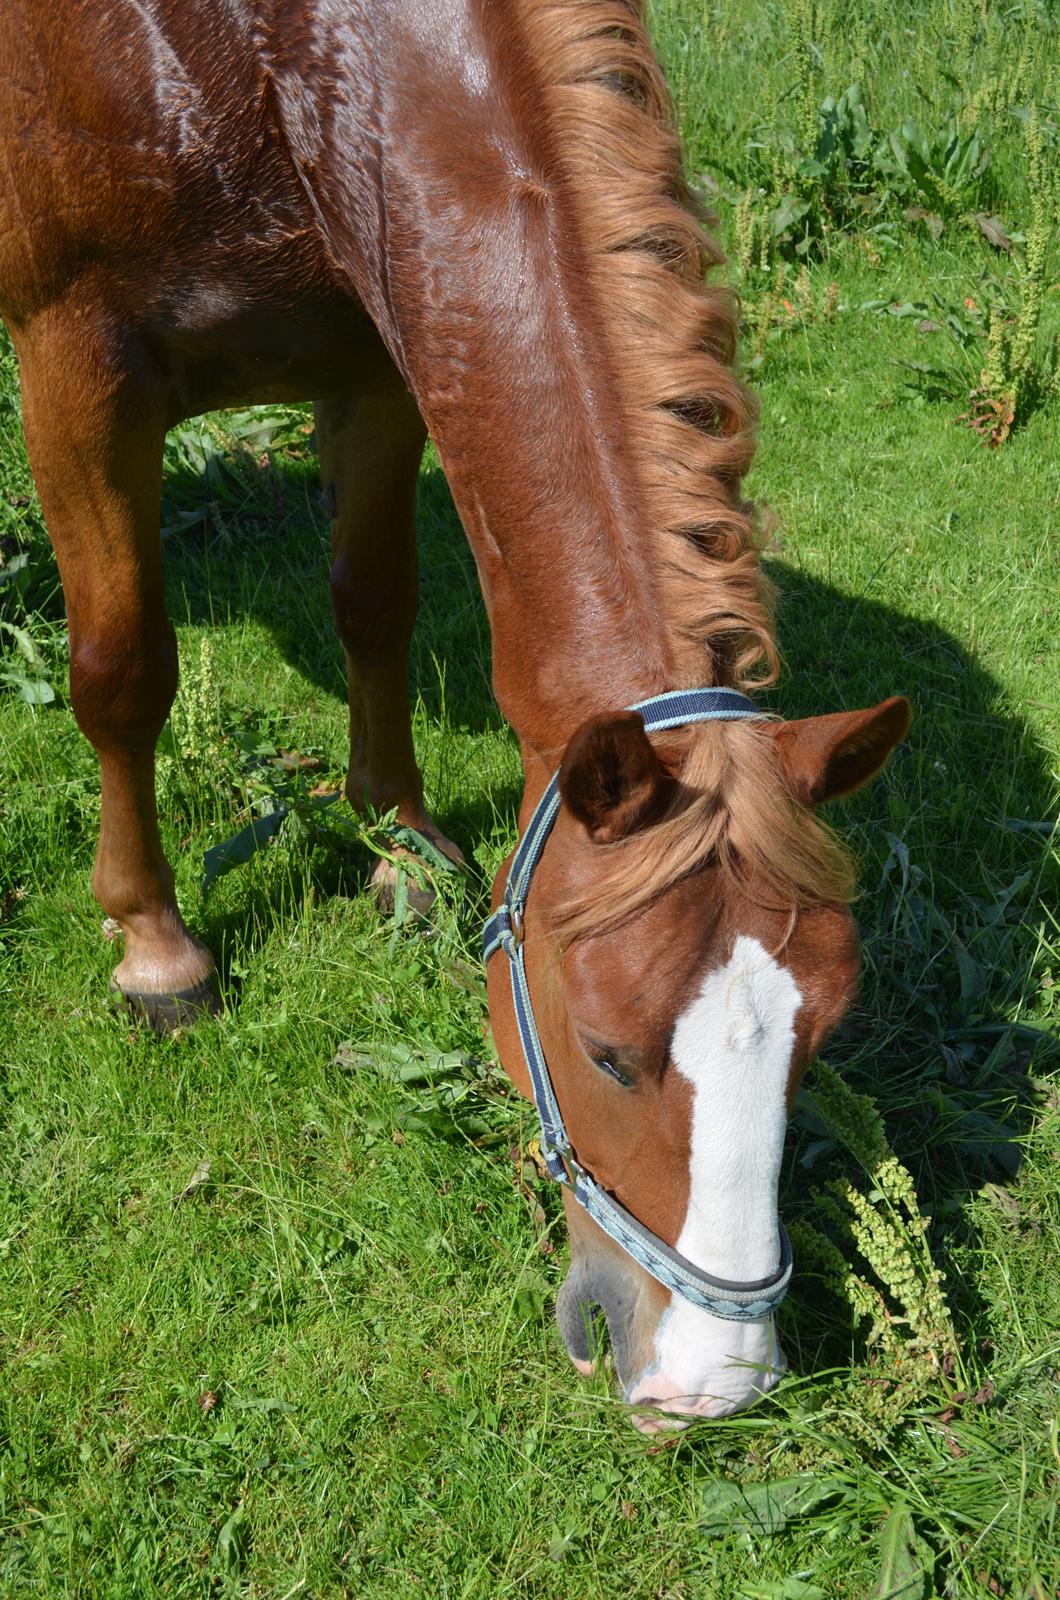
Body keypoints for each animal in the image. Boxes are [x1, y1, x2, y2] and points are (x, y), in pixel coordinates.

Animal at [2, 0, 915, 1427]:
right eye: (605, 1052)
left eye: (817, 1042)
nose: (707, 1386)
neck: (253, 56)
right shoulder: (77, 361)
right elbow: (122, 670)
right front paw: (157, 947)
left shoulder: (380, 346)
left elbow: (374, 598)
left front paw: (401, 849)